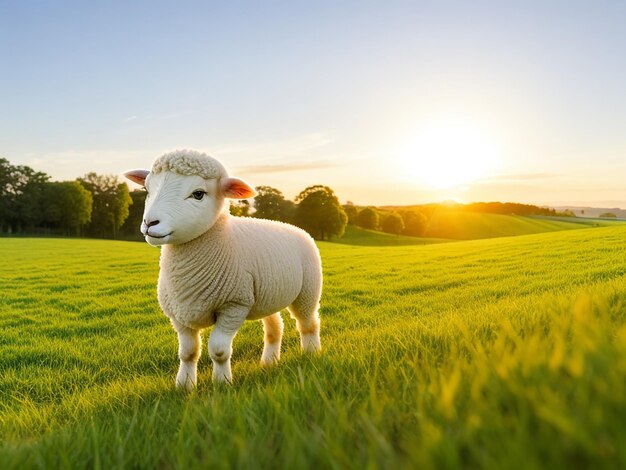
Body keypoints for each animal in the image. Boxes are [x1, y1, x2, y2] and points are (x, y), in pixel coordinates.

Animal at [125, 151, 324, 390]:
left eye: (198, 194)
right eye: (147, 189)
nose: (149, 223)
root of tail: (293, 227)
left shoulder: (233, 306)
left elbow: (219, 351)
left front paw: (222, 383)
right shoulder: (179, 314)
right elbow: (187, 353)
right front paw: (184, 386)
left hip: (308, 291)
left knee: (308, 323)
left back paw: (311, 355)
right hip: (267, 296)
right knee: (275, 327)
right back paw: (269, 362)